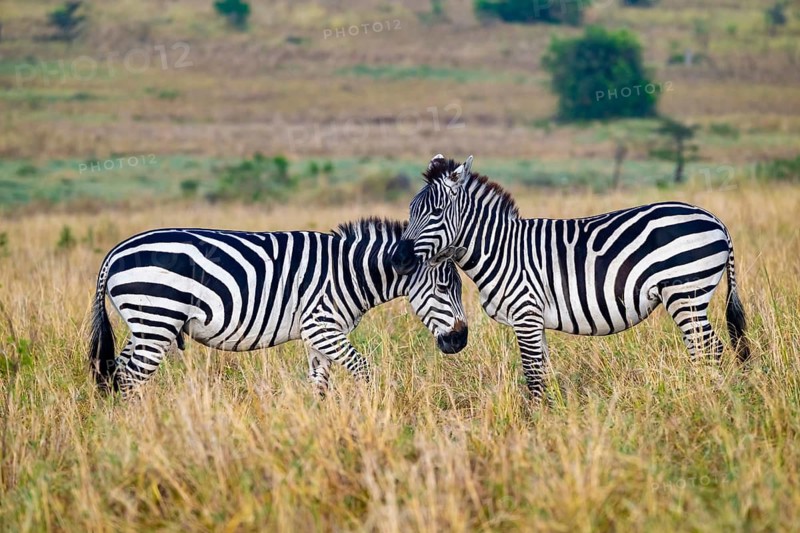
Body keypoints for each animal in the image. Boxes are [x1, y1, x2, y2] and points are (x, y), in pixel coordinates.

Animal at [89, 217, 468, 397]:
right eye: (444, 288)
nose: (460, 341)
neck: (349, 273)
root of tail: (114, 251)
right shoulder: (322, 326)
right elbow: (364, 369)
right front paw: (372, 408)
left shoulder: (318, 335)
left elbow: (319, 383)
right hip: (157, 319)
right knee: (130, 376)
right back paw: (139, 430)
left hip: (146, 325)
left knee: (117, 371)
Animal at [391, 154, 750, 400]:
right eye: (410, 211)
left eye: (436, 212)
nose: (397, 259)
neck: (500, 249)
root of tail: (716, 219)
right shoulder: (533, 320)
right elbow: (543, 372)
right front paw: (552, 417)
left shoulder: (526, 314)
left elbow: (533, 375)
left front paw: (533, 427)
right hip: (687, 297)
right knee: (702, 348)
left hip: (685, 292)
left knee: (710, 348)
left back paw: (707, 398)